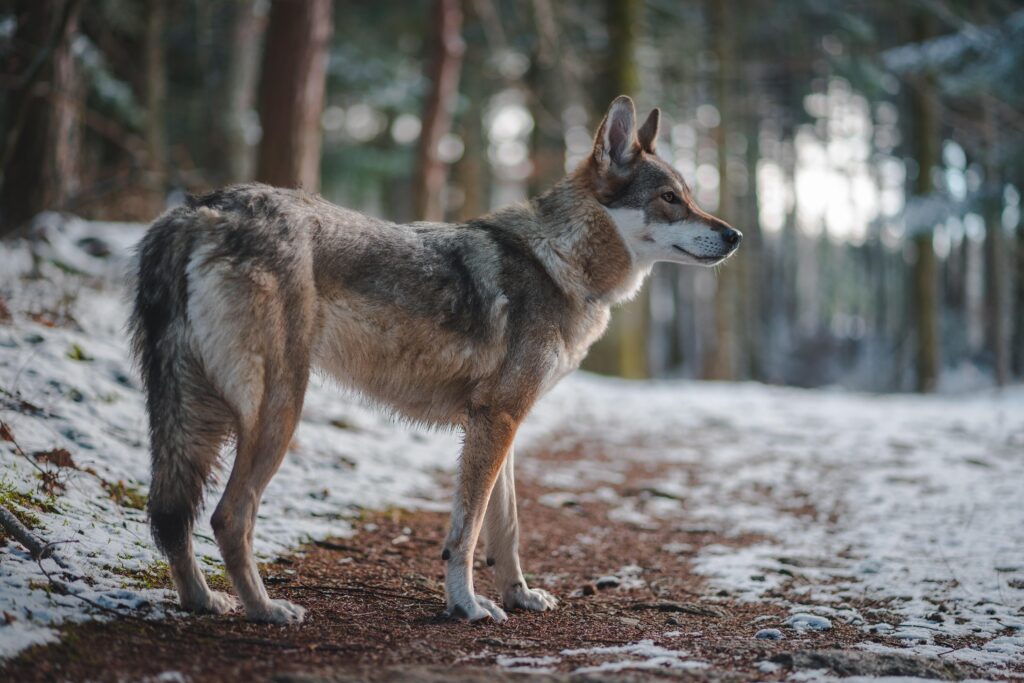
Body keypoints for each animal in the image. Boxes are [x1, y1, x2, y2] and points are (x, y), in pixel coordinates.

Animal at [130, 96, 737, 626]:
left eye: (689, 195)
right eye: (670, 198)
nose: (735, 234)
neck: (559, 262)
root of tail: (200, 208)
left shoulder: (503, 423)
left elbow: (506, 529)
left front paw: (519, 597)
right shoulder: (496, 421)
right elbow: (465, 534)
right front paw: (466, 607)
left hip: (193, 415)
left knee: (171, 517)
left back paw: (203, 602)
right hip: (277, 411)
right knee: (228, 517)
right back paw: (265, 610)